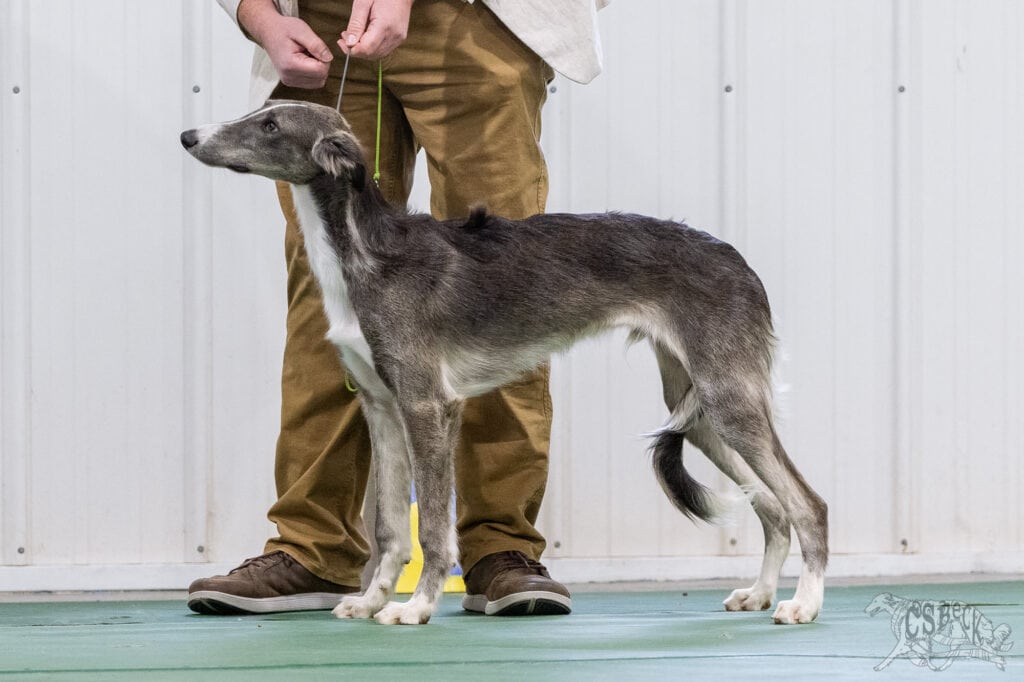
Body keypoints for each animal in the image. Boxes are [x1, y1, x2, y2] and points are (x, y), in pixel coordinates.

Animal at [180, 98, 827, 622]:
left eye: (269, 125)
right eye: (257, 111)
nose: (187, 135)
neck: (367, 255)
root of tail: (738, 261)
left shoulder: (428, 406)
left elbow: (432, 526)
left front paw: (414, 607)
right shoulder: (382, 409)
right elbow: (389, 527)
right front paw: (370, 600)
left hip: (728, 398)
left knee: (808, 504)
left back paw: (804, 604)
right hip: (701, 409)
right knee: (774, 508)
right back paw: (759, 593)